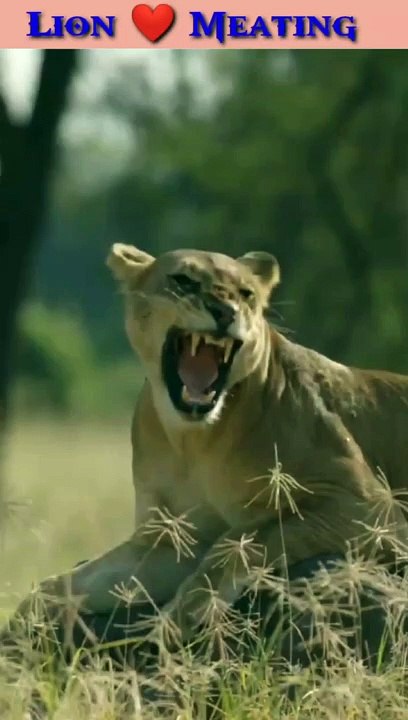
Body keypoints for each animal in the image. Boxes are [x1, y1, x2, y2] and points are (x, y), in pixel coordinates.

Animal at [4, 244, 408, 651]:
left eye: (246, 294)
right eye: (183, 280)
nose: (226, 312)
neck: (193, 442)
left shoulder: (371, 509)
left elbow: (243, 539)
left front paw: (183, 616)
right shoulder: (172, 537)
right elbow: (75, 581)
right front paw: (25, 623)